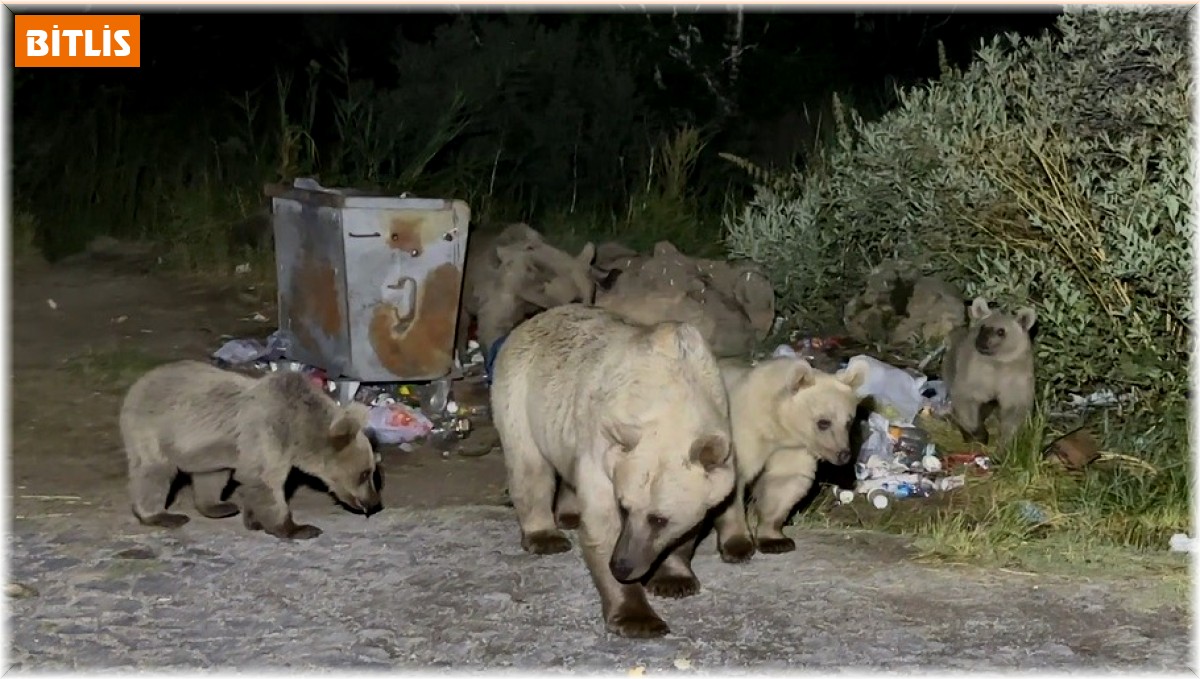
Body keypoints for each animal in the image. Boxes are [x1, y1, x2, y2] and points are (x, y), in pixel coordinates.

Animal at [119, 362, 381, 542]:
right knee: (153, 473)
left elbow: (254, 481)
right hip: (152, 430)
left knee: (212, 476)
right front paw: (299, 528)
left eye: (372, 473)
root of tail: (139, 383)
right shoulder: (267, 433)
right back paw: (162, 515)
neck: (298, 430)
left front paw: (253, 520)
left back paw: (219, 506)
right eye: (365, 473)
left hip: (210, 449)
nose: (374, 503)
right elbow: (266, 482)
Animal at [492, 305, 734, 643]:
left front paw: (674, 580)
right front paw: (638, 618)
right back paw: (546, 536)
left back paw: (568, 514)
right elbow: (601, 525)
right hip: (520, 391)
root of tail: (532, 320)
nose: (622, 566)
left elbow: (690, 526)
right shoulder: (605, 447)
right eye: (623, 506)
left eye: (659, 519)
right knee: (530, 466)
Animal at [705, 357, 868, 559]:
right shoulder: (742, 433)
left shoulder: (792, 448)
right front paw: (738, 547)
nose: (844, 454)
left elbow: (784, 483)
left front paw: (776, 541)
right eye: (823, 422)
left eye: (849, 422)